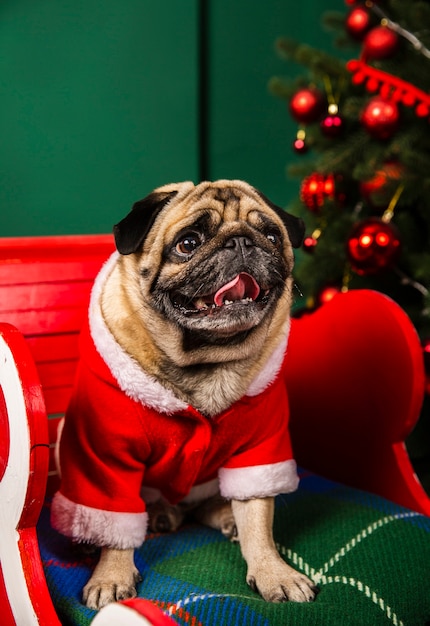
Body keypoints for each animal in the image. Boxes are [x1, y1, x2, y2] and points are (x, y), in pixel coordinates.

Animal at [51, 178, 320, 608]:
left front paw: (272, 571)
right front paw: (111, 576)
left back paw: (224, 517)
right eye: (188, 243)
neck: (204, 361)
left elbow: (259, 517)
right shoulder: (107, 458)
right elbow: (116, 526)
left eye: (271, 236)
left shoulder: (260, 450)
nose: (242, 241)